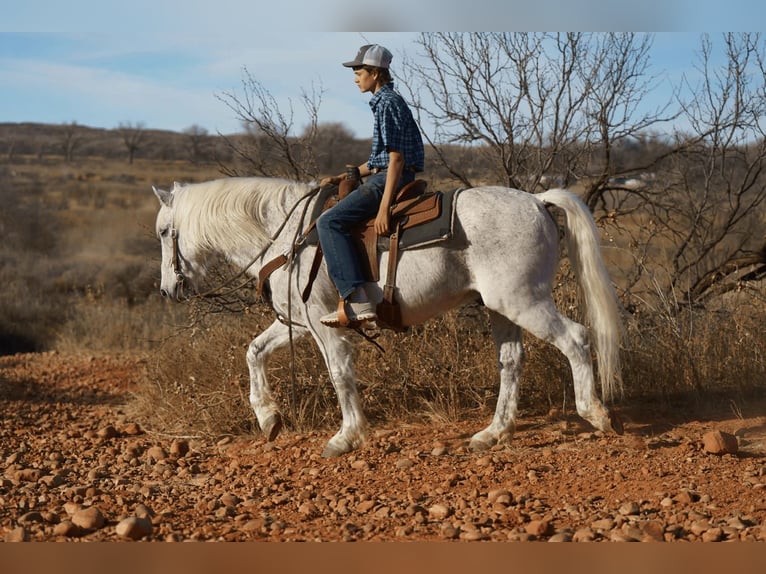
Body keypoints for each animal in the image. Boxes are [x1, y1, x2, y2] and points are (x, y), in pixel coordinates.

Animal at [152, 177, 624, 457]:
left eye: (161, 231)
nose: (167, 289)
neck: (289, 237)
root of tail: (538, 201)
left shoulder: (324, 326)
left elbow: (340, 375)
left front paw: (346, 436)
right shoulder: (299, 324)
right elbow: (254, 352)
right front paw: (268, 418)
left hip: (524, 301)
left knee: (577, 339)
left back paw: (595, 414)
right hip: (501, 308)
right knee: (511, 362)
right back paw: (493, 433)